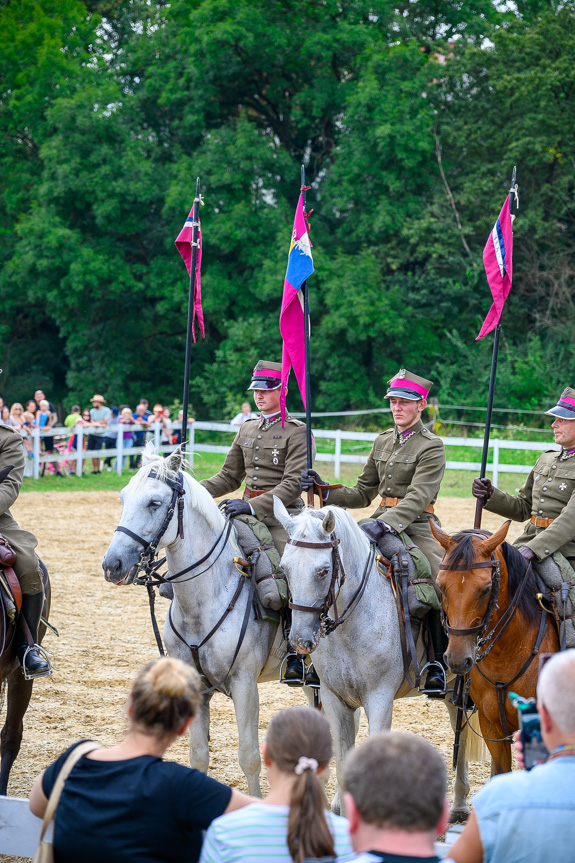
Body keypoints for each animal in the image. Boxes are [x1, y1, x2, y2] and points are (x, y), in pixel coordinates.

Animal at [102, 452, 288, 796]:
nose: (112, 564)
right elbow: (199, 755)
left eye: (154, 502)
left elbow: (250, 757)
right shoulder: (197, 687)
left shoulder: (245, 684)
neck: (205, 601)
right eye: (123, 498)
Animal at [274, 496, 482, 820]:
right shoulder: (334, 700)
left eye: (323, 571)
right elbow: (342, 760)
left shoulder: (379, 699)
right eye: (285, 568)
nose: (300, 640)